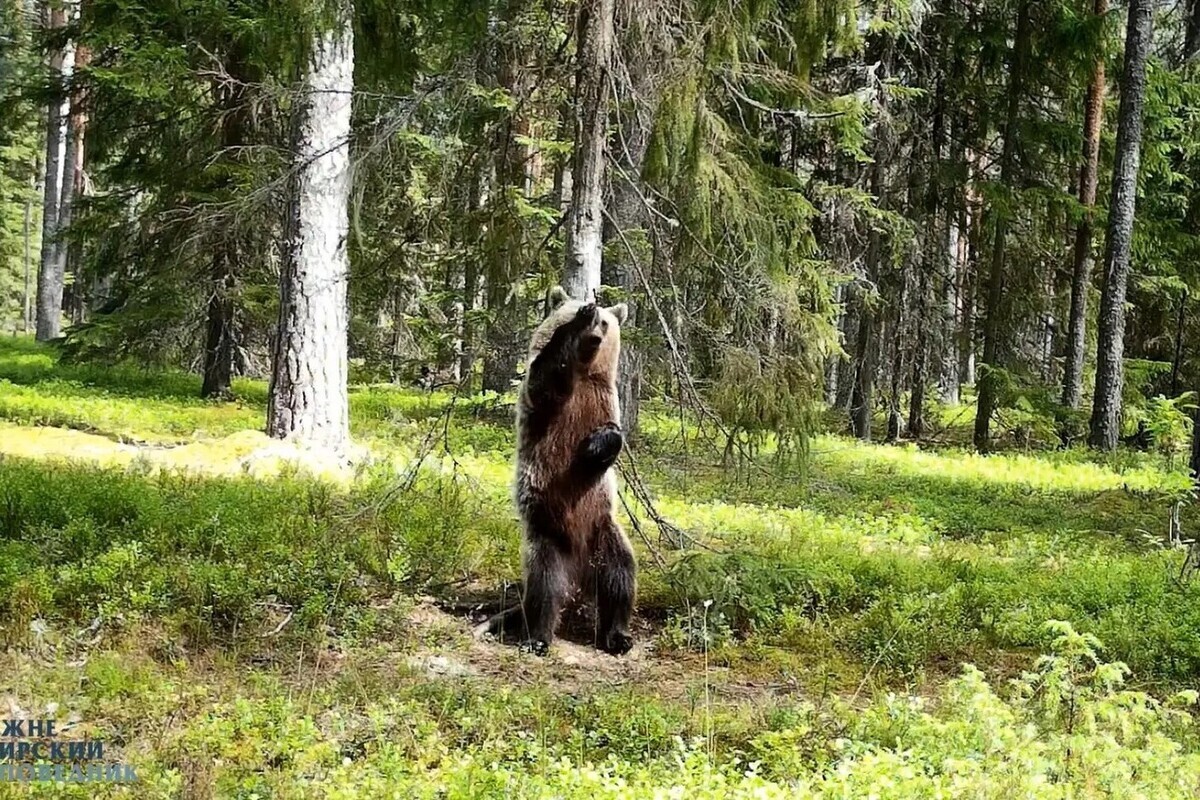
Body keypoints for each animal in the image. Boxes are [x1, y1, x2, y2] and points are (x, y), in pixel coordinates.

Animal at [483, 286, 637, 656]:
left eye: (606, 322)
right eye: (587, 316)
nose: (594, 328)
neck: (583, 372)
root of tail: (579, 569)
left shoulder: (604, 403)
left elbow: (612, 438)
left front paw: (596, 444)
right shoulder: (544, 398)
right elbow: (545, 378)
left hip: (603, 530)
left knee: (620, 578)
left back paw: (618, 635)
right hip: (547, 535)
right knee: (544, 586)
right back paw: (537, 637)